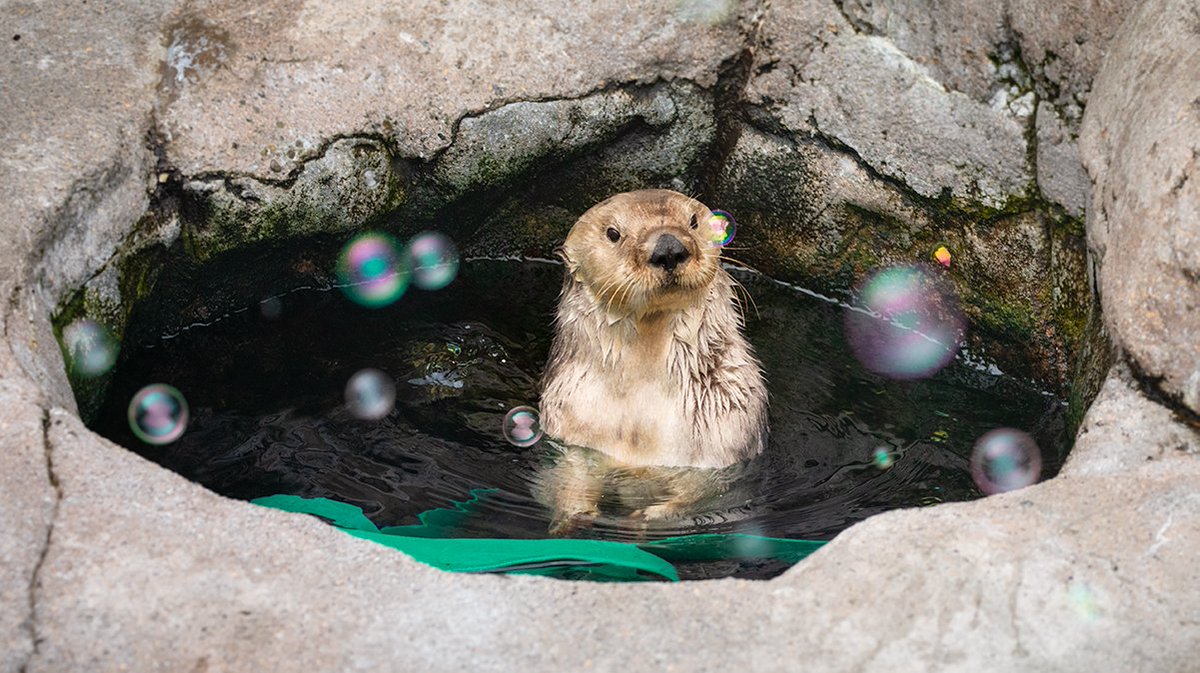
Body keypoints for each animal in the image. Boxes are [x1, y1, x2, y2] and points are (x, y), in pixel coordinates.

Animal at [536, 189, 768, 533]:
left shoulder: (726, 431)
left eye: (693, 220)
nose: (668, 248)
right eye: (613, 233)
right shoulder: (572, 423)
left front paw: (644, 518)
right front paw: (572, 520)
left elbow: (700, 490)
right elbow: (572, 473)